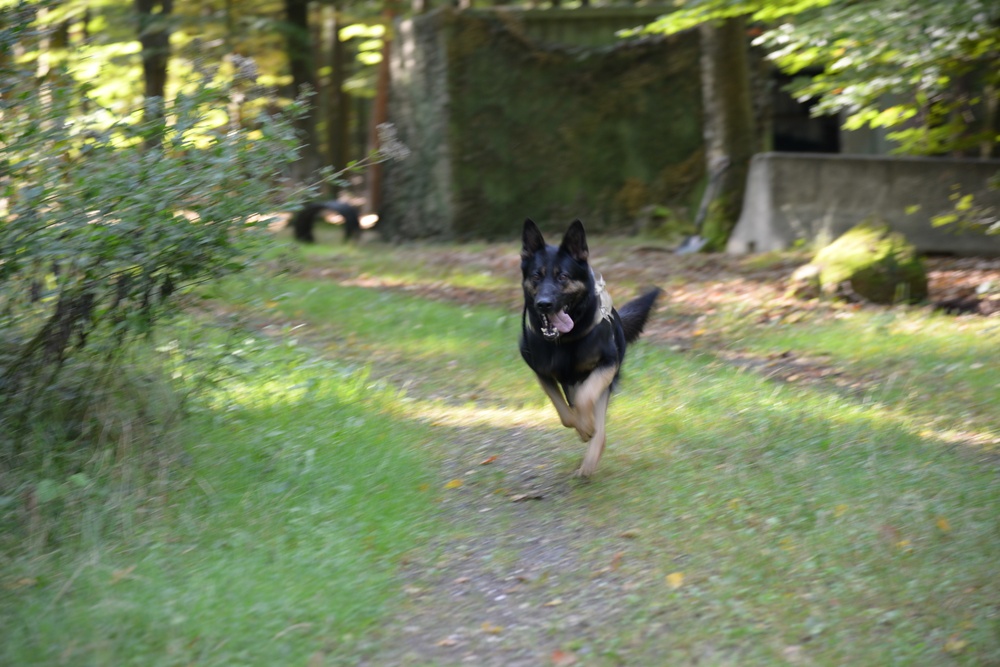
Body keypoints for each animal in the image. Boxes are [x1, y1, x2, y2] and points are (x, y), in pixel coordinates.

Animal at [520, 222, 660, 478]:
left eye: (563, 276)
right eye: (536, 276)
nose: (543, 304)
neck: (565, 340)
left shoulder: (607, 364)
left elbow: (586, 400)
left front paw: (587, 427)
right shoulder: (542, 372)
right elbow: (565, 413)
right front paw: (581, 427)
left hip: (605, 381)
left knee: (599, 421)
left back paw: (590, 459)